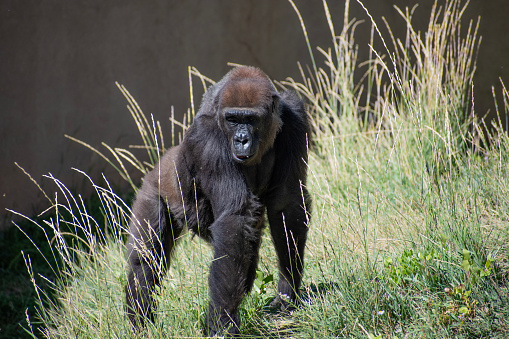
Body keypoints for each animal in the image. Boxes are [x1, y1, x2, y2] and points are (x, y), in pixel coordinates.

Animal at [125, 65, 312, 336]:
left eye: (251, 120)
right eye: (233, 120)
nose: (241, 139)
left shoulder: (295, 119)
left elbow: (286, 202)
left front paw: (287, 291)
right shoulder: (207, 137)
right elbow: (234, 219)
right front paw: (222, 323)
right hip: (153, 189)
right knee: (145, 259)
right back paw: (140, 324)